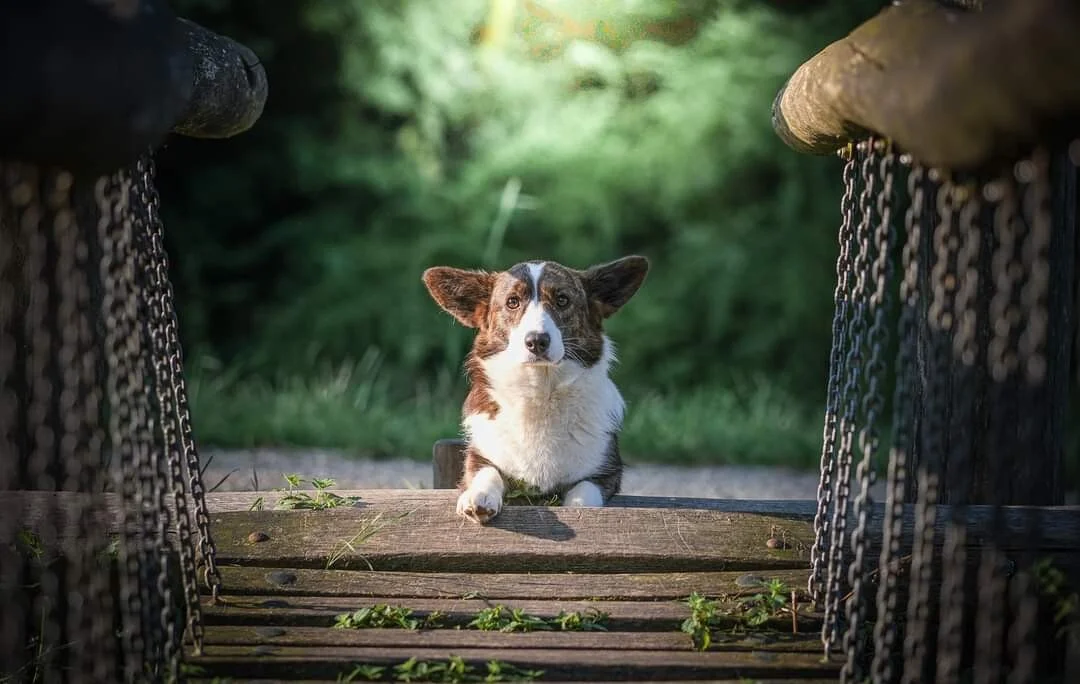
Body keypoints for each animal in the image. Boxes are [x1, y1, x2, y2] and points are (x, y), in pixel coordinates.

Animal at [422, 256, 649, 523]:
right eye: (512, 302)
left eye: (562, 300)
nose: (537, 341)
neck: (540, 390)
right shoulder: (481, 456)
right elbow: (486, 472)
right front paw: (479, 497)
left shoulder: (607, 472)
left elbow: (585, 492)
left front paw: (578, 507)